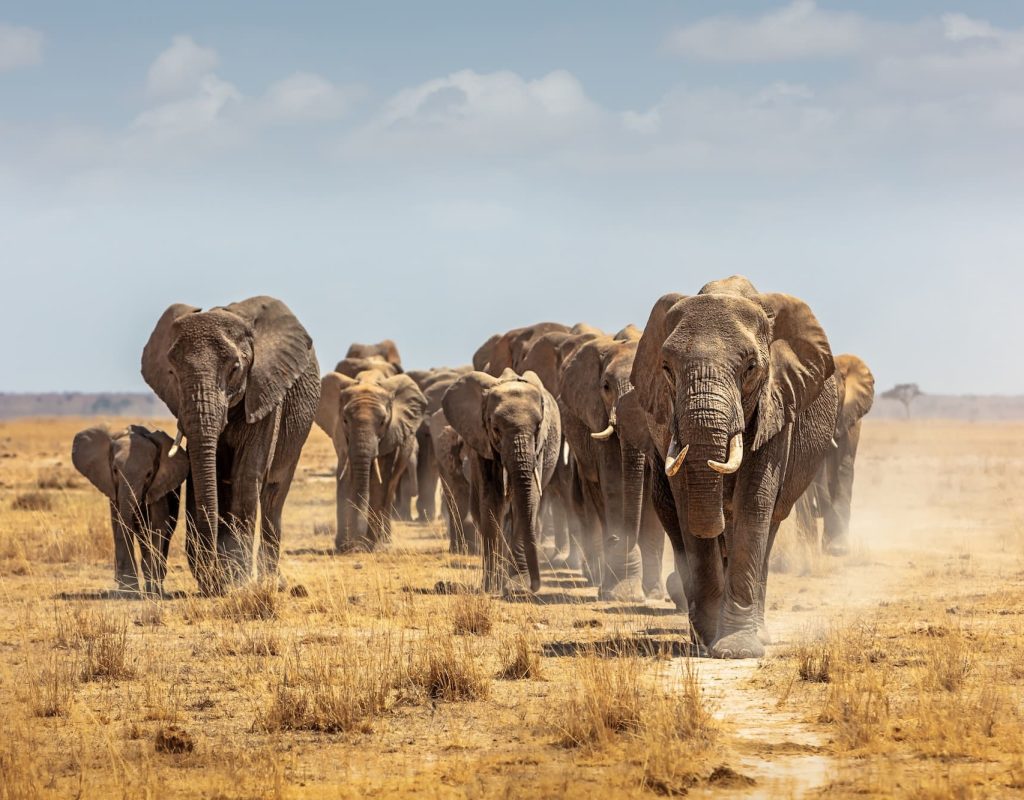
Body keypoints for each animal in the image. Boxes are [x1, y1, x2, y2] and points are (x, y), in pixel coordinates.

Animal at [72, 425, 189, 596]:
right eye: (114, 470)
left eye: (149, 474)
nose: (118, 576)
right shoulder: (112, 487)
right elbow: (118, 523)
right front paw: (128, 591)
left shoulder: (158, 484)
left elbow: (157, 526)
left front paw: (148, 590)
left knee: (165, 532)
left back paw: (157, 588)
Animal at [142, 297, 320, 595]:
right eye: (172, 372)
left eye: (234, 369)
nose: (212, 579)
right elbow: (202, 476)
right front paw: (219, 581)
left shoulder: (265, 392)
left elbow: (246, 476)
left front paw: (237, 581)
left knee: (273, 497)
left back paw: (271, 581)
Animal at [315, 367, 427, 551]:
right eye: (345, 420)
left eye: (382, 422)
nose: (357, 543)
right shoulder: (341, 436)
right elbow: (345, 477)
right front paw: (344, 547)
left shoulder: (391, 435)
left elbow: (379, 482)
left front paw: (369, 545)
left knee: (390, 489)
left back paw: (385, 542)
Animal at [442, 369, 561, 594]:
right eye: (496, 428)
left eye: (538, 427)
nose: (534, 586)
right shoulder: (482, 441)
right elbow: (491, 502)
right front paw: (490, 587)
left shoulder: (539, 449)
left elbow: (529, 500)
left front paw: (517, 583)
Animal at [632, 275, 838, 658]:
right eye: (666, 368)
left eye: (750, 368)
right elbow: (688, 505)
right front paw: (709, 641)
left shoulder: (777, 401)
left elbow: (753, 502)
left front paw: (737, 650)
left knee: (769, 525)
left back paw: (758, 634)